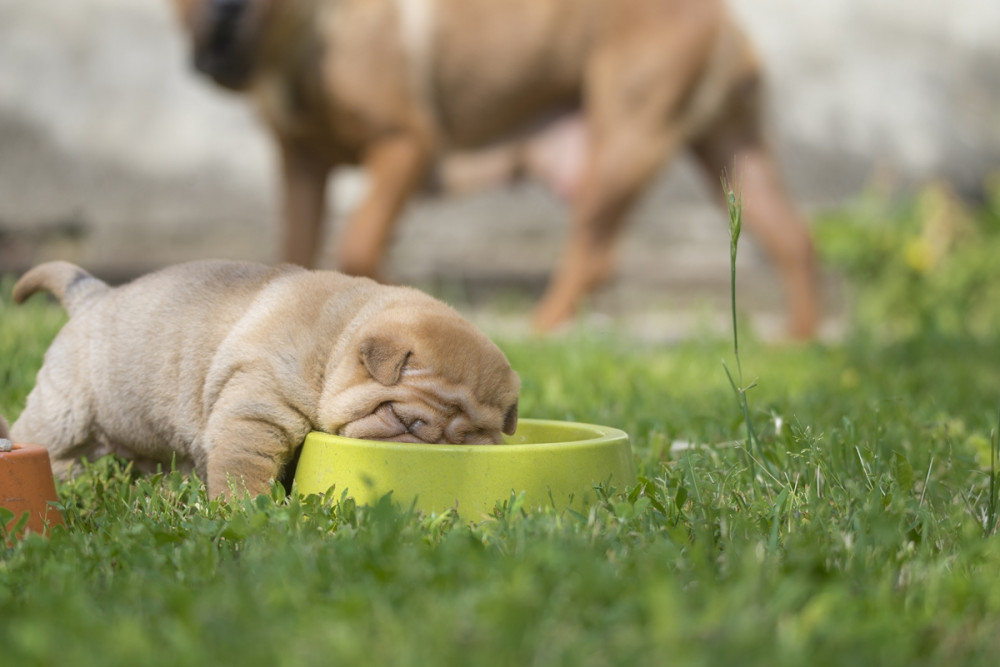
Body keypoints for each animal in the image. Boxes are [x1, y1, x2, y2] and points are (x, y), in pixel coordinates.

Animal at [7, 258, 520, 498]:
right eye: (404, 420)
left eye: (474, 437)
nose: (443, 450)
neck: (336, 339)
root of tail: (93, 296)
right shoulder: (257, 410)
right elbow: (244, 468)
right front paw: (244, 510)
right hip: (64, 412)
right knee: (46, 440)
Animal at [168, 0, 816, 340]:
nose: (225, 14)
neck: (304, 33)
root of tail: (725, 19)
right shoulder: (301, 165)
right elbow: (298, 249)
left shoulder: (406, 147)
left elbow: (358, 243)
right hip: (734, 157)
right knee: (793, 242)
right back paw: (796, 342)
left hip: (623, 144)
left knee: (593, 255)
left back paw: (541, 327)